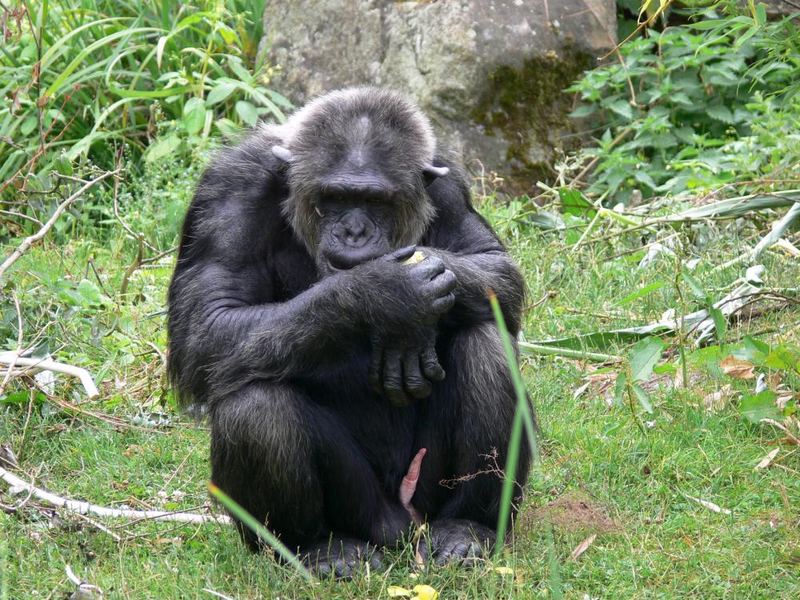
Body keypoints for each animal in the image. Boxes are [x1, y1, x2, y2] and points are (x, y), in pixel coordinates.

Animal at [168, 86, 532, 576]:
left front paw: (418, 301)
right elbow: (206, 322)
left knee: (486, 345)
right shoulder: (229, 192)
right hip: (363, 512)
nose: (354, 231)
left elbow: (497, 268)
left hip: (426, 495)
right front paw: (386, 294)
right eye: (334, 197)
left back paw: (467, 528)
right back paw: (319, 547)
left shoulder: (448, 183)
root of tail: (401, 525)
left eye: (377, 202)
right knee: (254, 404)